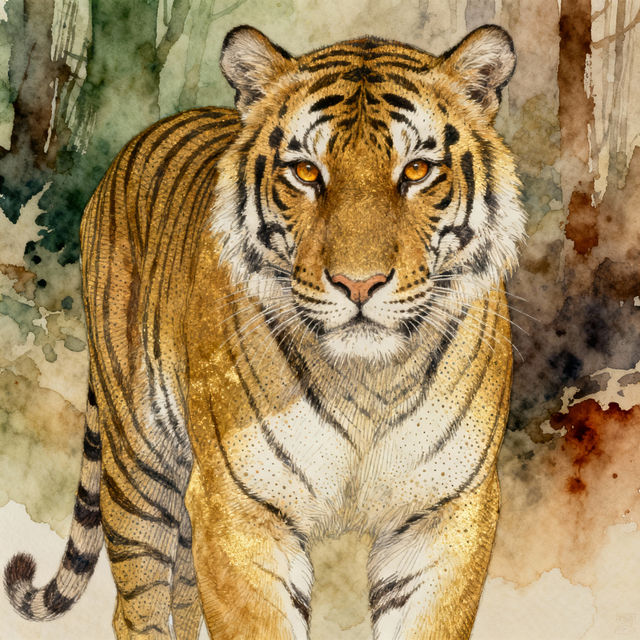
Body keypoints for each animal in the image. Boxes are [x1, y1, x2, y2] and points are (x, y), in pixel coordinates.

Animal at [4, 23, 525, 640]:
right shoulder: (239, 508)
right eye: (306, 172)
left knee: (183, 595)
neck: (369, 382)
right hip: (139, 461)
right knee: (138, 605)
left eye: (417, 171)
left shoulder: (447, 512)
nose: (359, 283)